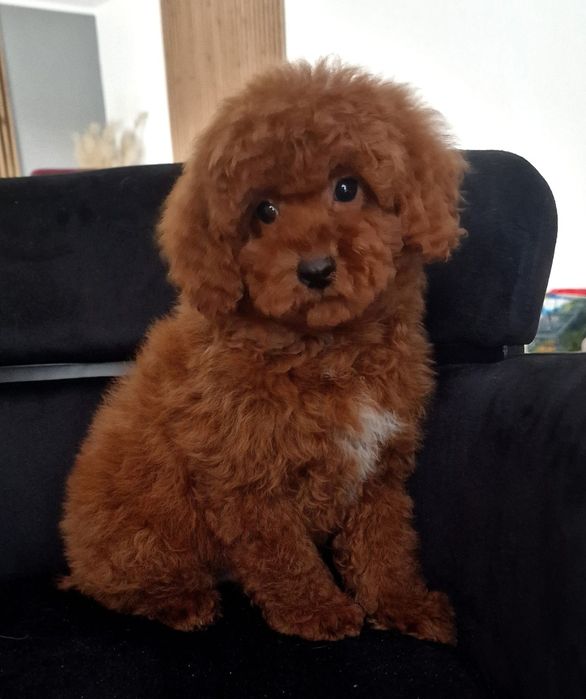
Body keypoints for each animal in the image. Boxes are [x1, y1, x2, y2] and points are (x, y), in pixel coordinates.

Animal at [60, 60, 465, 643]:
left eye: (348, 187)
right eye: (265, 211)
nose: (316, 269)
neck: (325, 348)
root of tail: (75, 557)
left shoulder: (379, 467)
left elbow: (384, 542)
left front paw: (401, 603)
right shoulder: (244, 474)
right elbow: (280, 552)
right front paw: (316, 611)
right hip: (141, 532)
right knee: (121, 584)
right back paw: (180, 601)